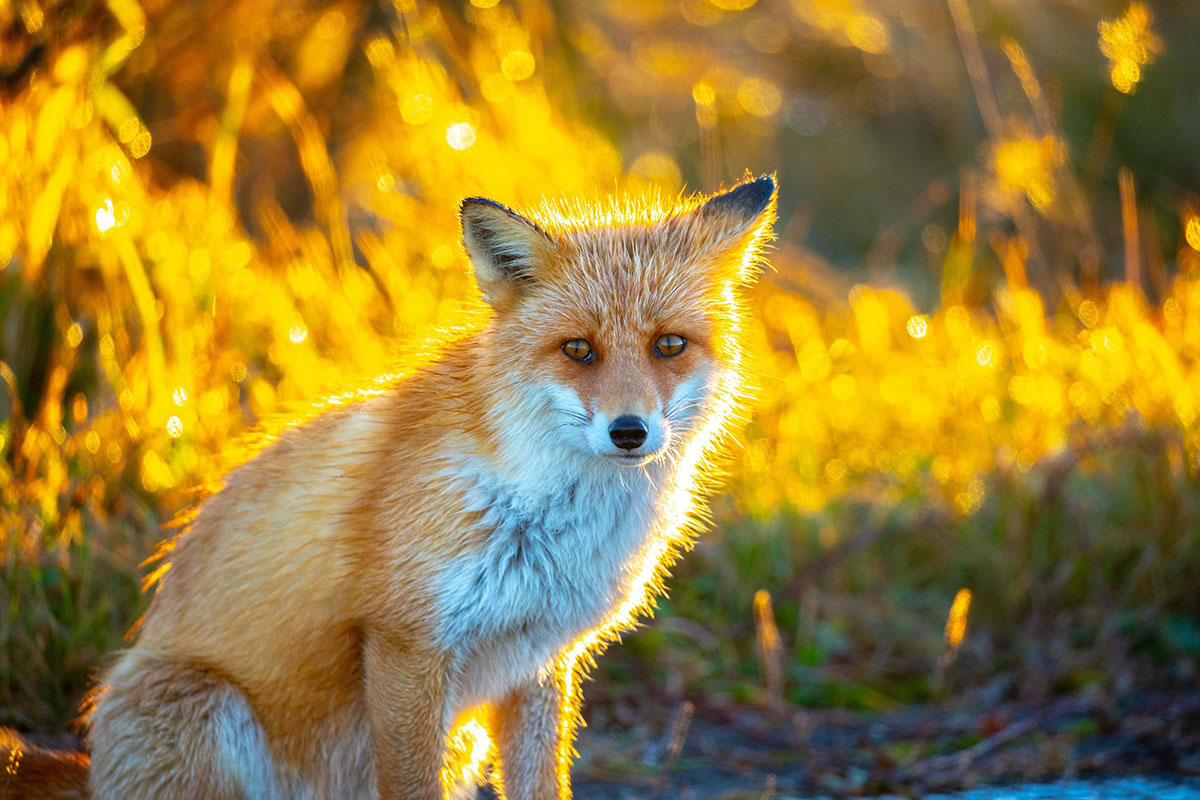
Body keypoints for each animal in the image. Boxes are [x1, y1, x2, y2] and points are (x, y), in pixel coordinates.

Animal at [2, 175, 777, 800]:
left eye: (668, 346)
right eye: (578, 350)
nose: (629, 431)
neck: (551, 520)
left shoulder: (539, 660)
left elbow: (540, 784)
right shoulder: (407, 643)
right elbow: (410, 785)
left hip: (457, 735)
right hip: (204, 706)